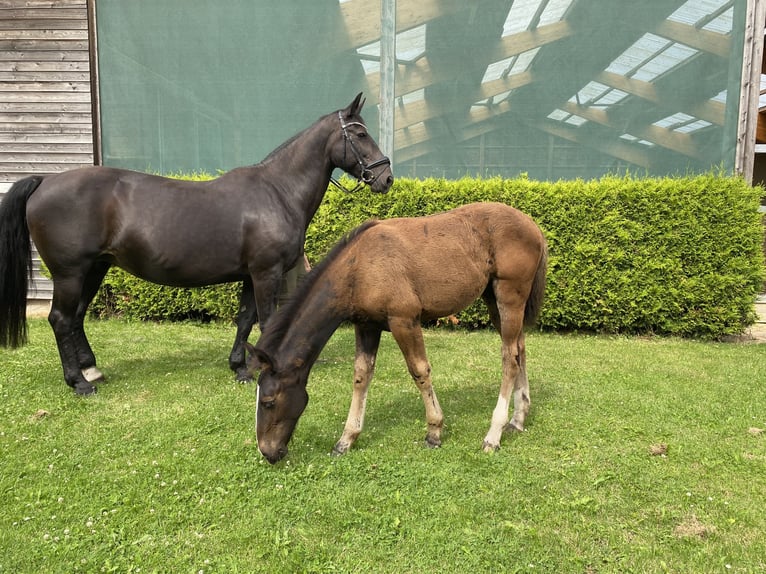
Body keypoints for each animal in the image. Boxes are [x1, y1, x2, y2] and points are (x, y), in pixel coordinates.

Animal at [0, 93, 392, 396]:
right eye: (359, 133)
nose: (385, 177)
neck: (277, 192)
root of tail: (45, 181)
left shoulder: (250, 274)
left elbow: (245, 319)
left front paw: (240, 368)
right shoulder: (267, 272)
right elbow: (267, 320)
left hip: (94, 269)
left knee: (77, 317)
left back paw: (91, 370)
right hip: (70, 273)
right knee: (61, 319)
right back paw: (79, 383)